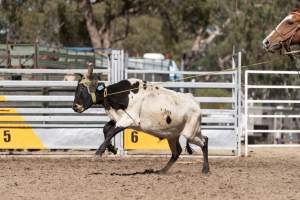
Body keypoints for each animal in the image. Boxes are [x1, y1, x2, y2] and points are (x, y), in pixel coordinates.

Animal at [72, 65, 209, 173]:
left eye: (82, 88)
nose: (75, 106)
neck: (124, 94)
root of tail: (195, 103)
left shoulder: (129, 120)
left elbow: (111, 132)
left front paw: (98, 153)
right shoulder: (119, 118)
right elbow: (106, 129)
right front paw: (112, 149)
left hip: (190, 133)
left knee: (204, 141)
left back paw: (205, 169)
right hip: (173, 135)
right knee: (177, 152)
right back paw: (162, 171)